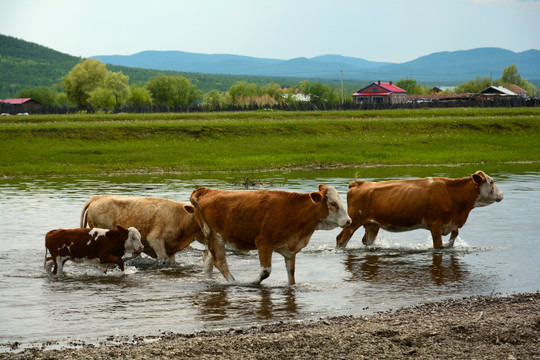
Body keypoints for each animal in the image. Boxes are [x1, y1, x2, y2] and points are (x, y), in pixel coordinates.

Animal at [189, 184, 350, 286]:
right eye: (333, 204)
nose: (348, 221)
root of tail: (206, 190)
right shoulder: (263, 243)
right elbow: (265, 271)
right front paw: (252, 283)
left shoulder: (290, 250)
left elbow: (291, 273)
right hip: (215, 236)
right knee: (220, 262)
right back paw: (234, 283)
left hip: (212, 239)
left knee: (208, 259)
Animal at [336, 170, 504, 249]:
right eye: (492, 182)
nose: (502, 194)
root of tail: (359, 184)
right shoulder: (435, 224)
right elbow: (438, 246)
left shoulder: (452, 223)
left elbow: (453, 237)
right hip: (353, 221)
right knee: (341, 238)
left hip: (372, 224)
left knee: (368, 241)